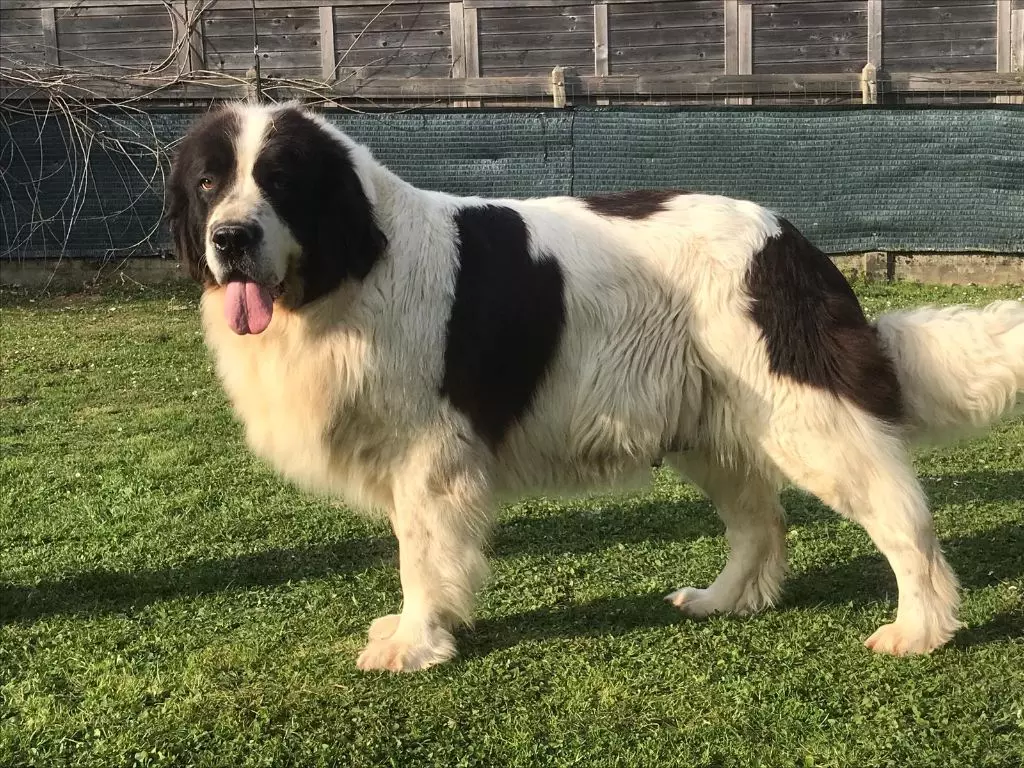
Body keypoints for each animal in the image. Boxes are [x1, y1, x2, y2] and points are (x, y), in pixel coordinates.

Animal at [169, 102, 1024, 671]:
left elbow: (422, 553)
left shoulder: (429, 456)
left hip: (806, 415)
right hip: (711, 421)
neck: (350, 266)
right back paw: (724, 601)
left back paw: (920, 629)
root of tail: (794, 243)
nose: (231, 239)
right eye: (210, 183)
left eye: (279, 182)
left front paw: (416, 643)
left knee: (903, 520)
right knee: (760, 520)